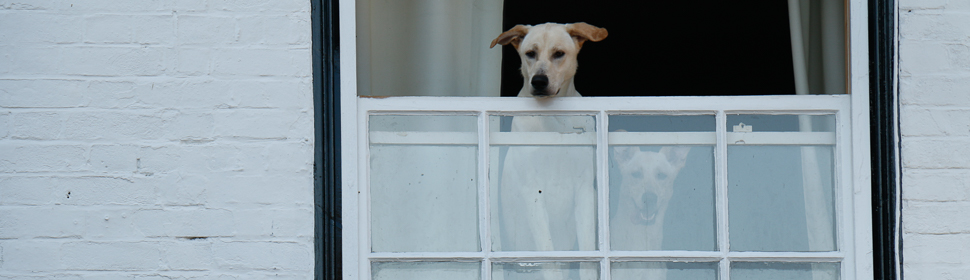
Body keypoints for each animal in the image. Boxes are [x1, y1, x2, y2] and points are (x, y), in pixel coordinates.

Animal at [492, 22, 604, 280]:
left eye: (559, 54)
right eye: (530, 53)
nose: (539, 81)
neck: (554, 118)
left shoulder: (584, 189)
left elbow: (586, 257)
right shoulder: (532, 190)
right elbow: (549, 257)